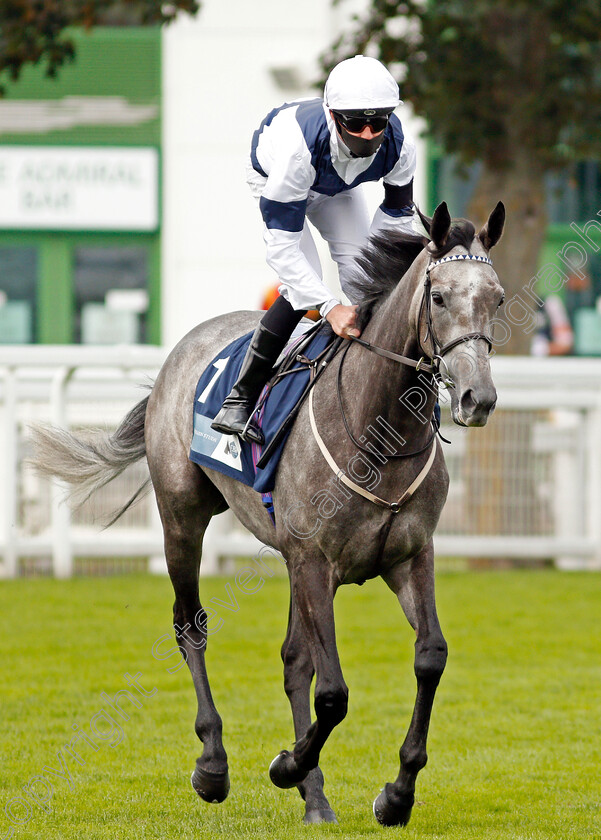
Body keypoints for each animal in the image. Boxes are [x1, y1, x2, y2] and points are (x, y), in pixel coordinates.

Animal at [30, 202, 504, 828]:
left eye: (498, 298)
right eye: (441, 297)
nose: (478, 399)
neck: (379, 431)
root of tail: (182, 348)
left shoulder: (408, 555)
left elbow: (428, 658)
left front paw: (396, 794)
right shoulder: (315, 561)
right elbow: (333, 692)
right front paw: (286, 765)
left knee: (293, 659)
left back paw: (315, 798)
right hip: (181, 519)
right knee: (190, 625)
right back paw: (214, 765)